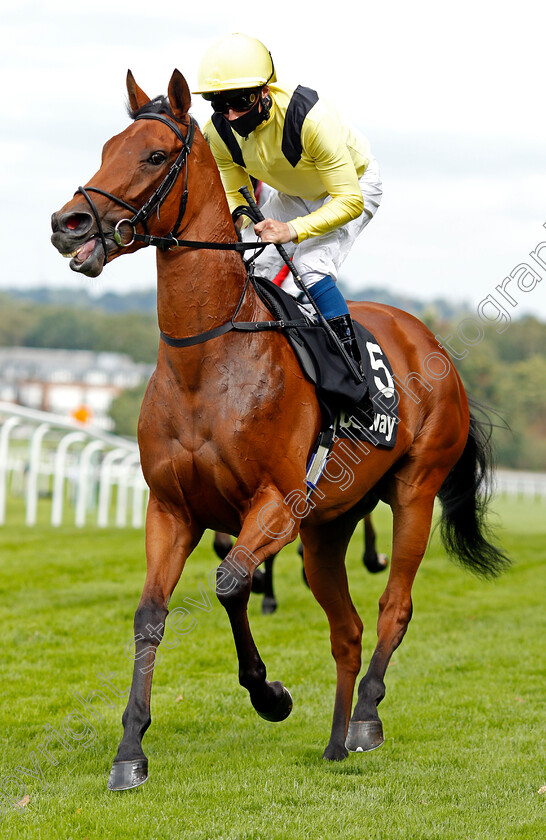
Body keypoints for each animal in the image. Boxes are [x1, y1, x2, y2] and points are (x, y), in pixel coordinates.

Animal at [50, 69, 506, 792]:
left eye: (153, 155)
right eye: (105, 148)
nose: (68, 224)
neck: (207, 361)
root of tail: (428, 338)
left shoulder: (275, 504)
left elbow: (230, 582)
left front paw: (270, 695)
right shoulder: (173, 508)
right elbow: (151, 614)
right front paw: (129, 751)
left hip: (414, 490)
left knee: (393, 607)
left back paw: (367, 717)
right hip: (326, 529)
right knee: (347, 628)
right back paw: (337, 739)